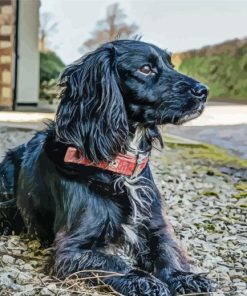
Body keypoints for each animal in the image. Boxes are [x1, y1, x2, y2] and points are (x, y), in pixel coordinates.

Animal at [0, 40, 215, 296]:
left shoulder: (155, 226)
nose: (204, 91)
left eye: (170, 65)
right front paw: (142, 280)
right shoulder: (72, 248)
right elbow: (113, 262)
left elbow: (167, 251)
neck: (118, 166)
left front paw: (181, 276)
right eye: (145, 69)